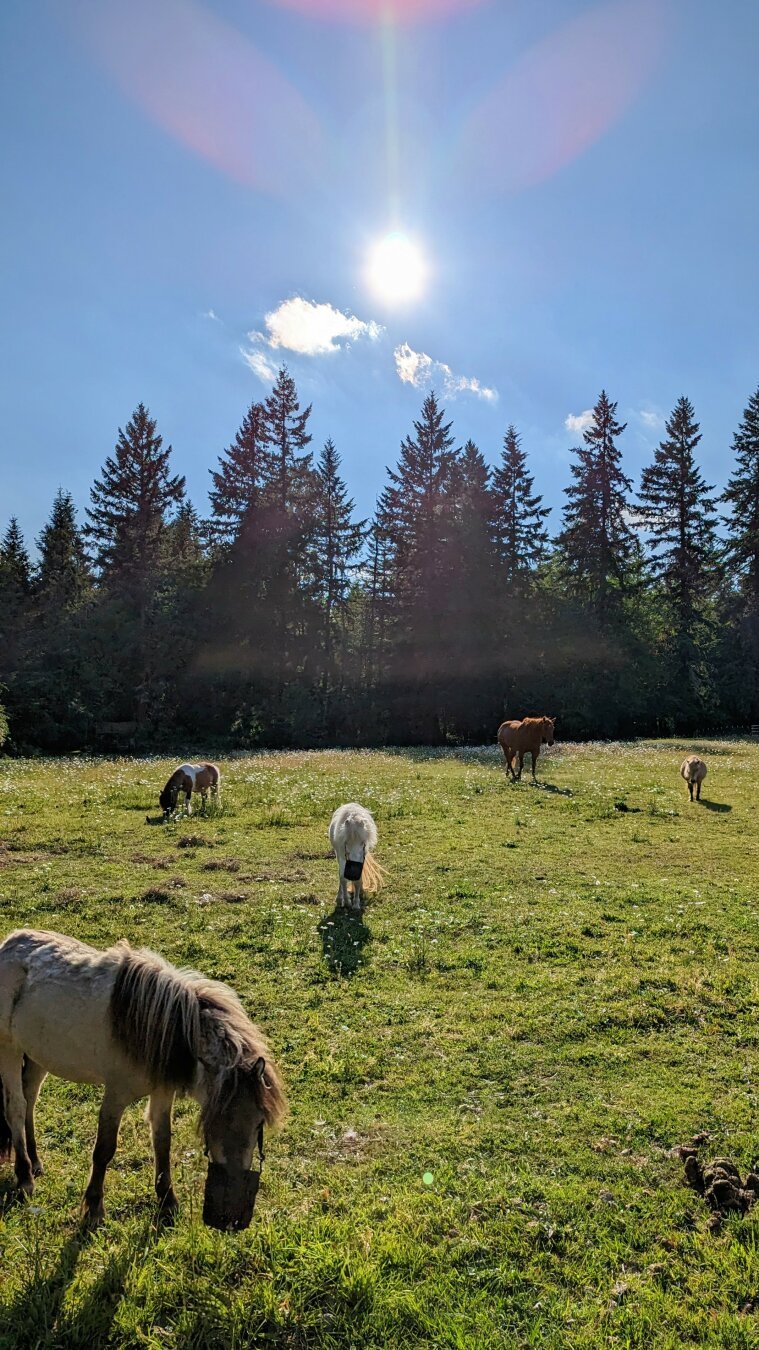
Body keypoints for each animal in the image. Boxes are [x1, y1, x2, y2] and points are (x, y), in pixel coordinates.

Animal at [0, 934, 283, 1231]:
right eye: (223, 1118)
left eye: (259, 1123)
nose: (229, 1218)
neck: (161, 1028)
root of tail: (9, 944)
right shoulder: (115, 1095)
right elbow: (104, 1150)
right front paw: (94, 1209)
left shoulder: (162, 1093)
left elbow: (162, 1143)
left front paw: (168, 1202)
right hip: (9, 1049)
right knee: (16, 1107)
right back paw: (24, 1177)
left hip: (38, 1055)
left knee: (30, 1100)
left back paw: (35, 1162)